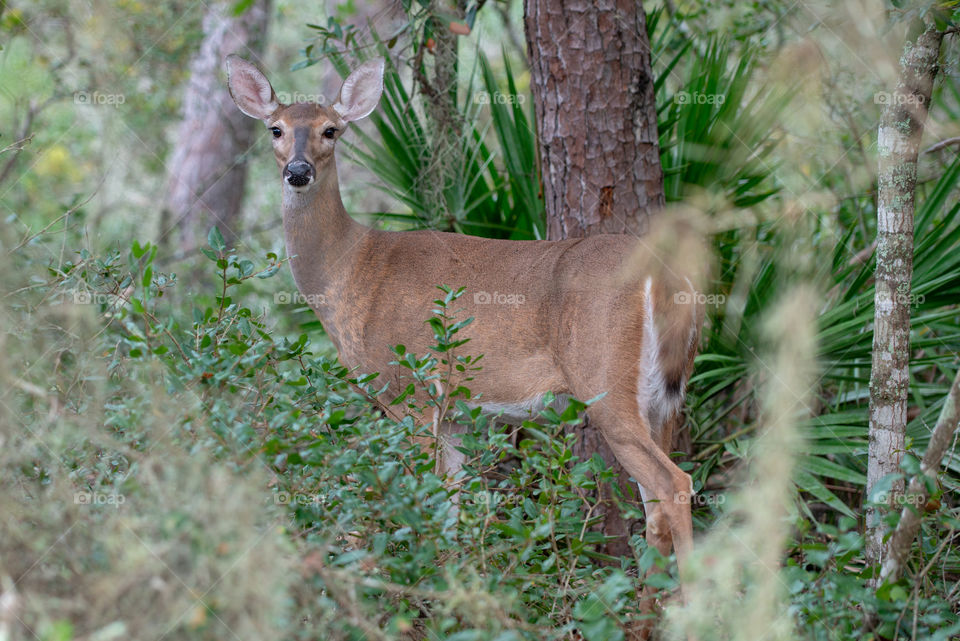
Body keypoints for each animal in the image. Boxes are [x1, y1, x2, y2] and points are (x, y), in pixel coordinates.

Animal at [225, 54, 705, 610]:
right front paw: (454, 593)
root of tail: (666, 274)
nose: (297, 171)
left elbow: (422, 496)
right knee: (656, 501)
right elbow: (451, 505)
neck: (351, 271)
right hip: (664, 398)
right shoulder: (452, 410)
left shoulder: (407, 386)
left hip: (604, 378)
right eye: (276, 129)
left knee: (673, 483)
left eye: (331, 130)